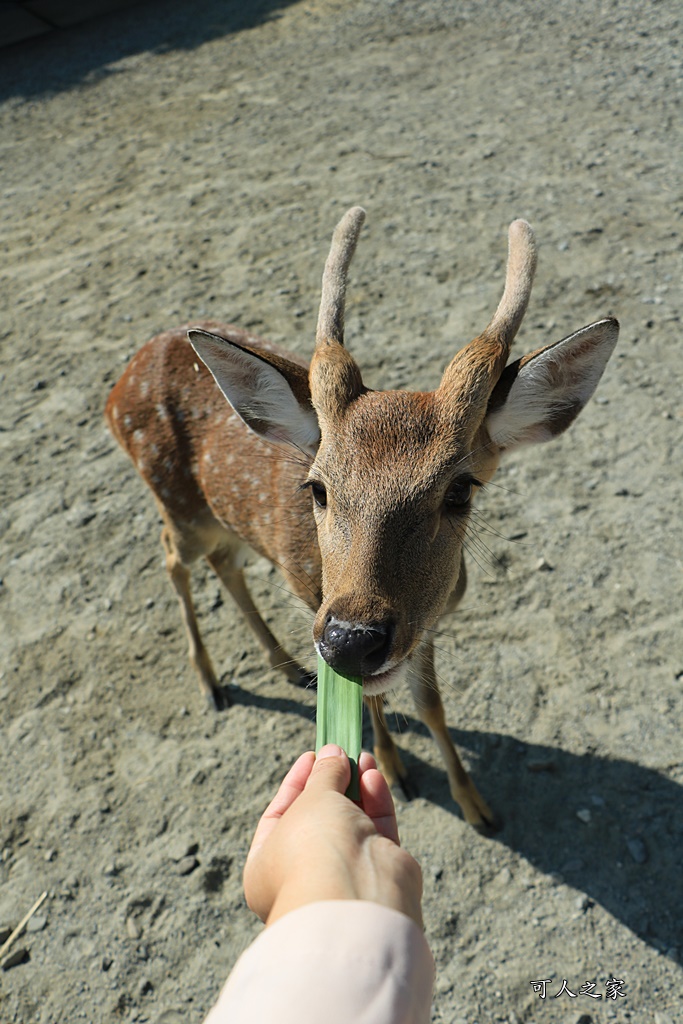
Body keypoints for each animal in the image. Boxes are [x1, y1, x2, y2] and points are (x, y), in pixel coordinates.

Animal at [105, 207, 618, 831]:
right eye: (317, 487)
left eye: (460, 489)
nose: (351, 639)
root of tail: (119, 386)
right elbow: (373, 697)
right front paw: (396, 770)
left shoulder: (428, 625)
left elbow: (431, 704)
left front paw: (476, 806)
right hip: (177, 504)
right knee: (172, 557)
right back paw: (210, 683)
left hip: (224, 522)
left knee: (225, 562)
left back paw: (285, 667)